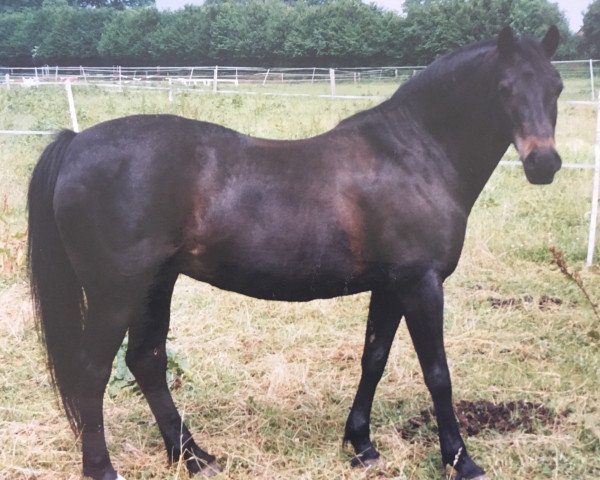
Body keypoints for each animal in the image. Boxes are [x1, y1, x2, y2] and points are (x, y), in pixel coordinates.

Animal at [28, 26, 564, 480]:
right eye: (505, 88)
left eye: (556, 87)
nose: (544, 163)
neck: (413, 155)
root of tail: (76, 143)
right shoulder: (421, 285)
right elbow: (438, 375)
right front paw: (461, 461)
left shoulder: (392, 287)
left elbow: (374, 359)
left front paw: (362, 446)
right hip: (116, 293)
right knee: (94, 371)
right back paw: (103, 468)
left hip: (156, 284)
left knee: (147, 361)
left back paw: (194, 457)